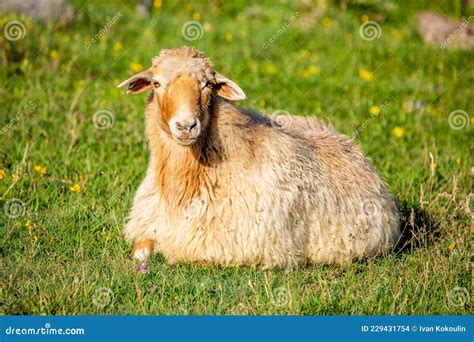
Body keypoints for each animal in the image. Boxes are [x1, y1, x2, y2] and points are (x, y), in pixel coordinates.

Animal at [118, 46, 400, 268]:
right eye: (156, 83)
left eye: (208, 84)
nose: (186, 126)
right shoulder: (146, 224)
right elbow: (140, 250)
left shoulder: (227, 246)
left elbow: (175, 251)